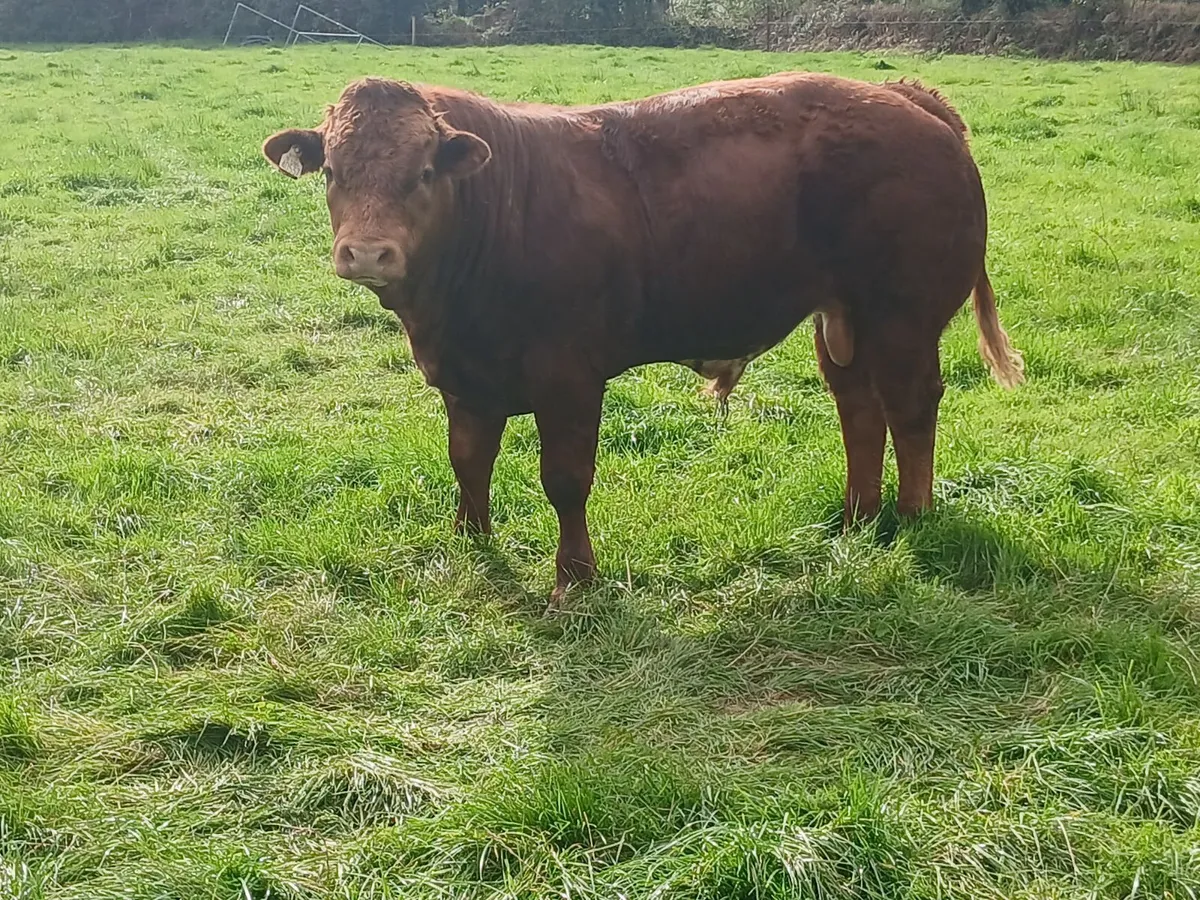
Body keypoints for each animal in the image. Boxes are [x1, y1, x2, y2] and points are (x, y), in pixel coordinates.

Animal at [262, 71, 1024, 608]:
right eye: (333, 171)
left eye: (423, 172)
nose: (367, 252)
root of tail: (901, 95)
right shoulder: (464, 376)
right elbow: (468, 462)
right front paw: (470, 541)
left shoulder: (568, 376)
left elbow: (565, 479)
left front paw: (574, 580)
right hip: (843, 318)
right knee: (859, 406)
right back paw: (856, 521)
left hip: (903, 315)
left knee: (911, 406)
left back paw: (912, 515)